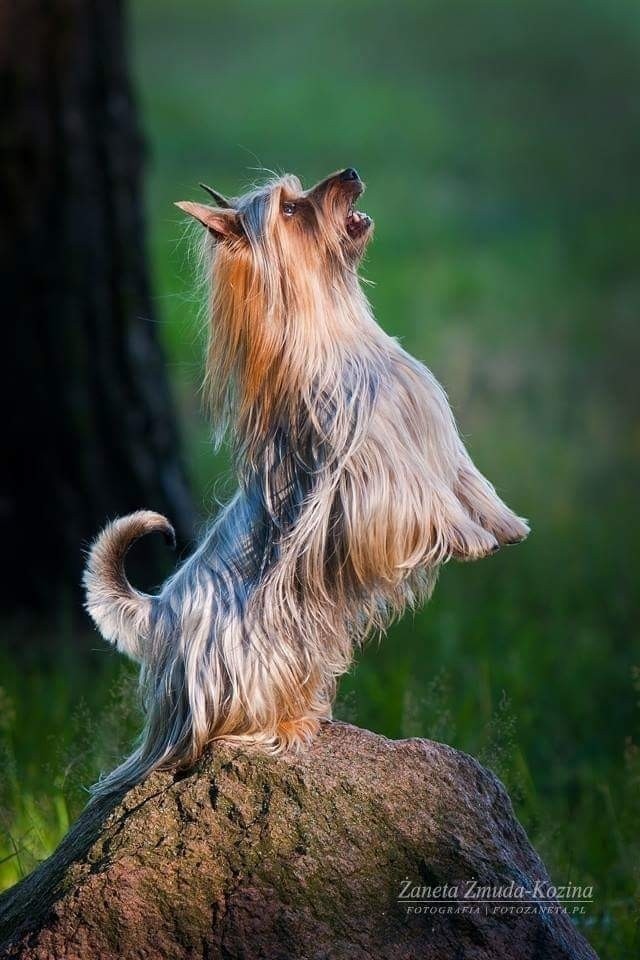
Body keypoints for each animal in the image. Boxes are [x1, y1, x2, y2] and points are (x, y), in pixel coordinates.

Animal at [82, 165, 528, 796]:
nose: (352, 172)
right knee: (227, 720)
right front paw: (467, 538)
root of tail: (162, 612)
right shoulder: (374, 485)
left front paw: (502, 527)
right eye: (291, 210)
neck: (339, 327)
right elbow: (425, 507)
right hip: (255, 653)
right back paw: (282, 729)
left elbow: (470, 488)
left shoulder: (437, 443)